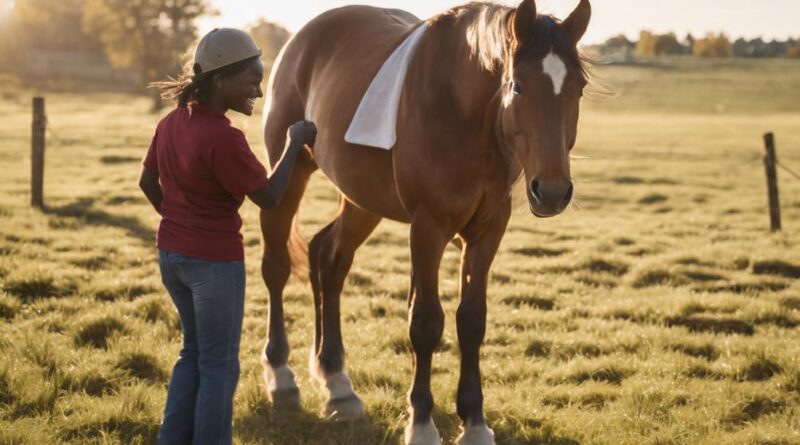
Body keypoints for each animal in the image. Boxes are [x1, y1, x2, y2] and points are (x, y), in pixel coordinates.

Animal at [260, 1, 592, 442]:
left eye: (578, 88)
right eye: (518, 86)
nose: (552, 191)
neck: (463, 112)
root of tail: (300, 40)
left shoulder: (488, 230)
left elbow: (472, 319)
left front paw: (475, 422)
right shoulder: (428, 227)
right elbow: (426, 323)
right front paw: (421, 423)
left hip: (363, 198)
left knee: (330, 259)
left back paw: (337, 383)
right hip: (289, 173)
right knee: (277, 267)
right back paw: (281, 376)